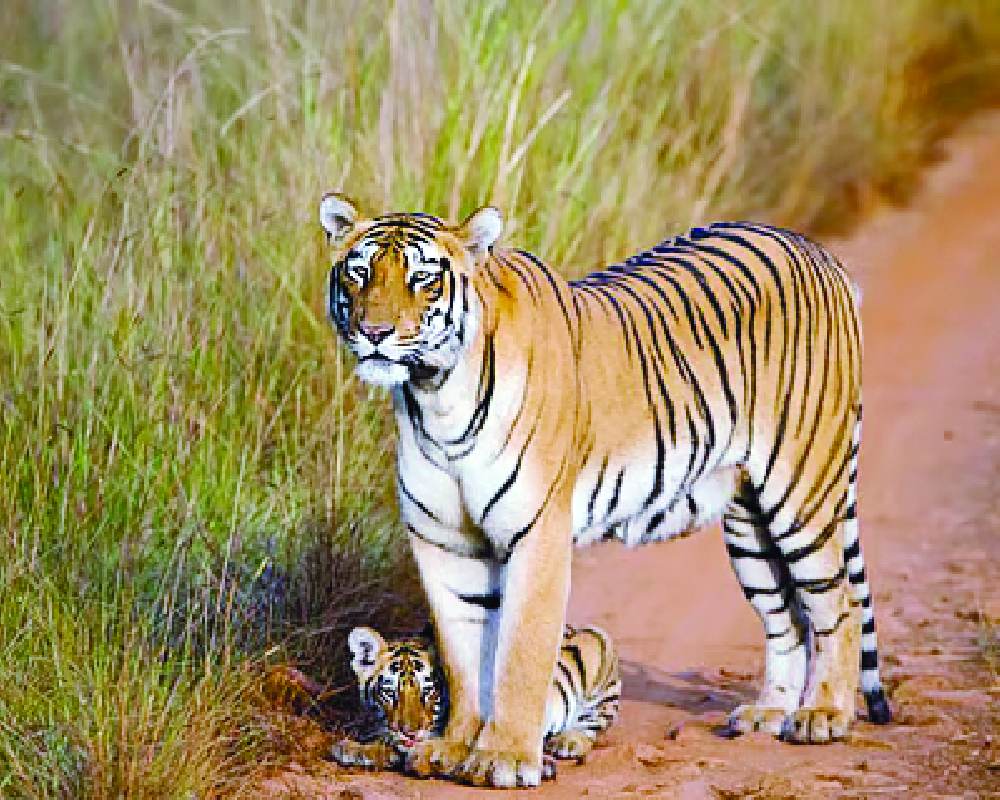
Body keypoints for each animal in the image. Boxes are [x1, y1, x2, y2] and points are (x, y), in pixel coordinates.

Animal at [331, 623, 620, 778]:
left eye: (429, 692)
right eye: (390, 692)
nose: (410, 733)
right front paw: (354, 748)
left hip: (597, 644)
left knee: (594, 721)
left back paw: (567, 742)